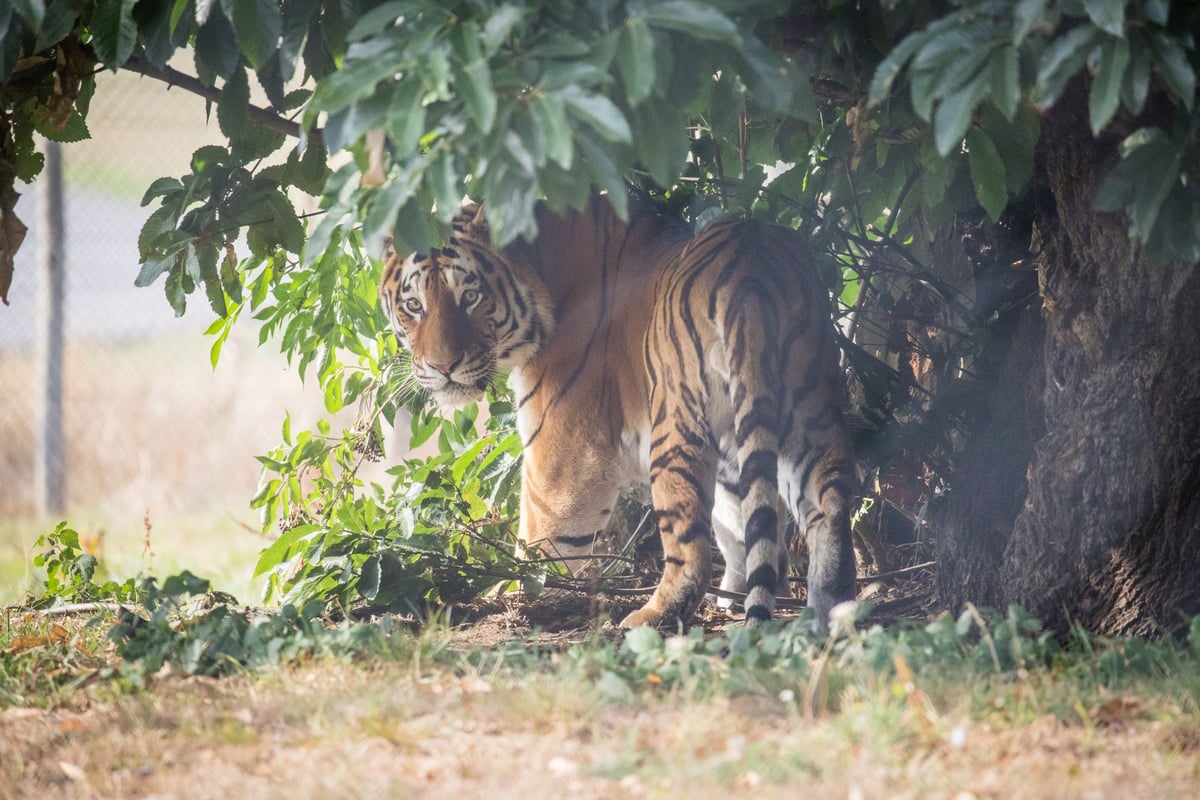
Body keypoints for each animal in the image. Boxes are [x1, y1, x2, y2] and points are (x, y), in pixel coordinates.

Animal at [379, 194, 858, 628]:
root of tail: (751, 269)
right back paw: (827, 612)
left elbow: (541, 545)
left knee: (691, 552)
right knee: (829, 506)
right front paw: (737, 593)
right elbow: (740, 521)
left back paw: (651, 615)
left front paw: (511, 595)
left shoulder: (561, 455)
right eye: (414, 305)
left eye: (471, 296)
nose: (442, 367)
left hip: (677, 426)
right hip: (808, 410)